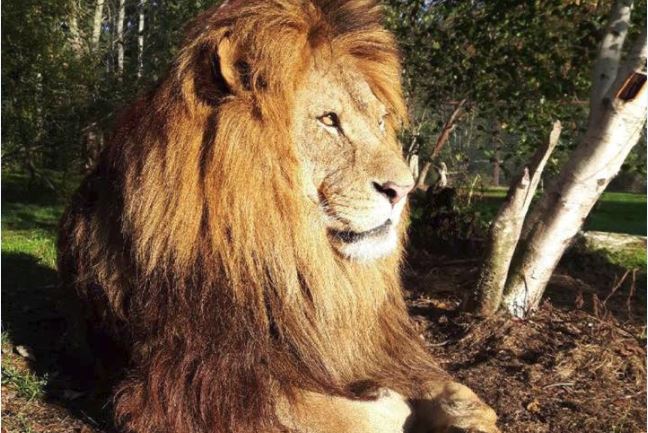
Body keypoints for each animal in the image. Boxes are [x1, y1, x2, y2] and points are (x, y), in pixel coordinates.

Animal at [57, 1, 500, 432]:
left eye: (379, 121)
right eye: (328, 120)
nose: (404, 189)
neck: (303, 267)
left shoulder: (374, 346)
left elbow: (446, 384)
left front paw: (471, 414)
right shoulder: (182, 383)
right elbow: (349, 413)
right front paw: (390, 403)